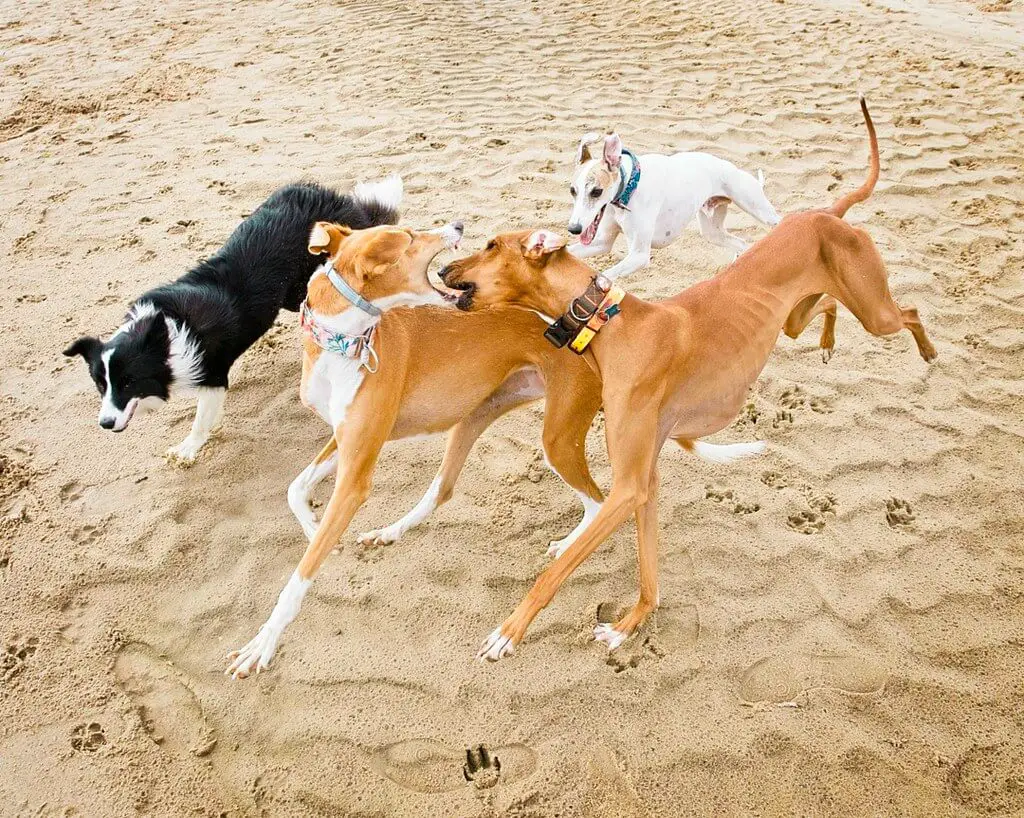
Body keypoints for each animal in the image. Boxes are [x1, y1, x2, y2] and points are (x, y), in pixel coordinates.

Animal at [64, 176, 403, 464]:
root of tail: (327, 196)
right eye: (100, 384)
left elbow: (200, 420)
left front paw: (187, 449)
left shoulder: (213, 375)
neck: (165, 338)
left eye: (128, 382)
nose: (105, 423)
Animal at [573, 132, 778, 278]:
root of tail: (732, 167)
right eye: (572, 190)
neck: (630, 186)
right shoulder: (602, 243)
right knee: (742, 244)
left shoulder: (639, 255)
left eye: (596, 191)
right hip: (713, 232)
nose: (573, 228)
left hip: (760, 210)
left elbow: (606, 275)